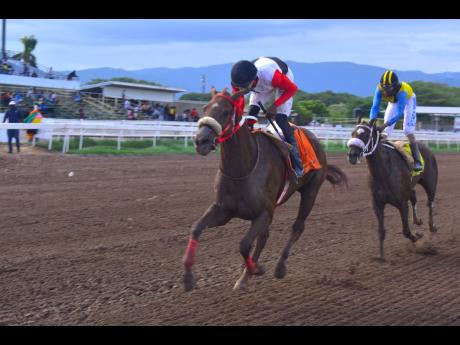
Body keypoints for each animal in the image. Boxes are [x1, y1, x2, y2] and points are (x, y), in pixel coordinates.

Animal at [181, 89, 346, 290]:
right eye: (205, 108)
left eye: (226, 112)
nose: (201, 141)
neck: (243, 169)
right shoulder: (223, 210)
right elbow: (196, 228)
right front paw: (188, 277)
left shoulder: (264, 213)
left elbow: (244, 244)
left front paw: (257, 269)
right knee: (264, 237)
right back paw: (245, 277)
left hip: (310, 191)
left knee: (297, 227)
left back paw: (279, 267)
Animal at [348, 120, 438, 258]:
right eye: (352, 133)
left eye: (365, 135)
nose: (352, 155)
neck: (383, 173)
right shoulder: (377, 204)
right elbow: (381, 231)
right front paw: (380, 256)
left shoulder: (402, 203)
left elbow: (406, 231)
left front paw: (417, 236)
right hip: (410, 187)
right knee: (414, 197)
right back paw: (417, 220)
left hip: (431, 184)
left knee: (430, 203)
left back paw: (432, 226)